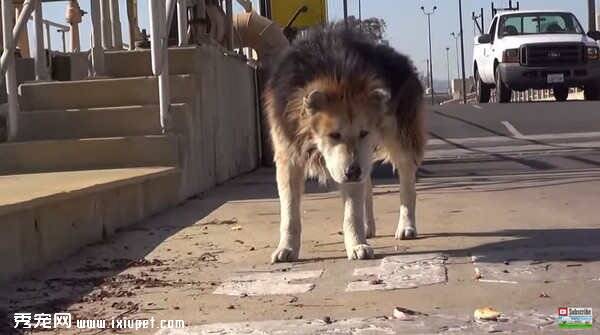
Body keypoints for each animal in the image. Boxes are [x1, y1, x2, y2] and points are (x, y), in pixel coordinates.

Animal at [264, 25, 426, 264]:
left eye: (364, 132)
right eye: (333, 134)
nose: (353, 172)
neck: (335, 74)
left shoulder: (354, 162)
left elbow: (352, 212)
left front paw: (357, 244)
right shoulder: (288, 155)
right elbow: (289, 213)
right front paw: (287, 248)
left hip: (400, 138)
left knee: (406, 183)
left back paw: (406, 226)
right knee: (367, 181)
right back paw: (369, 226)